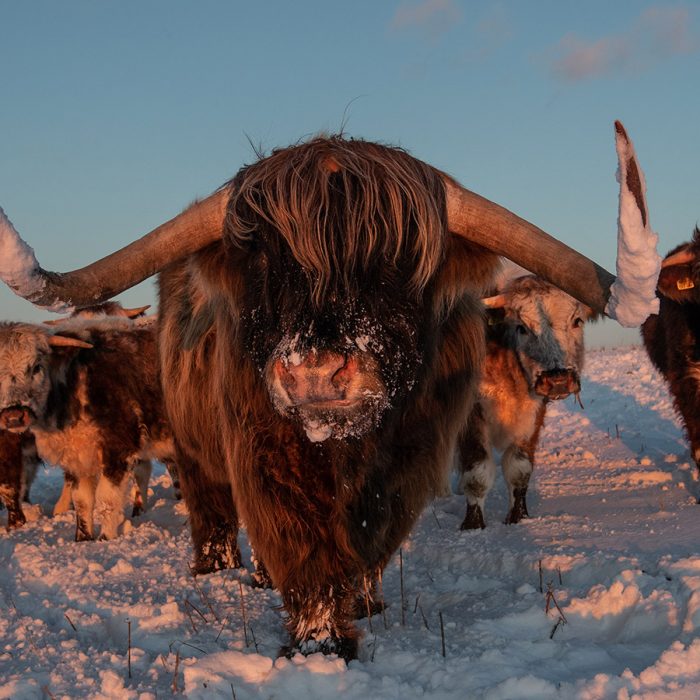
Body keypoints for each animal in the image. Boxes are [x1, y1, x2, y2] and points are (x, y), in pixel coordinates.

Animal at [462, 276, 592, 528]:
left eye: (577, 321)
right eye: (521, 327)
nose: (558, 379)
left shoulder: (533, 415)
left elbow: (519, 469)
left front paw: (518, 518)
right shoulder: (471, 416)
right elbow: (477, 473)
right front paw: (472, 525)